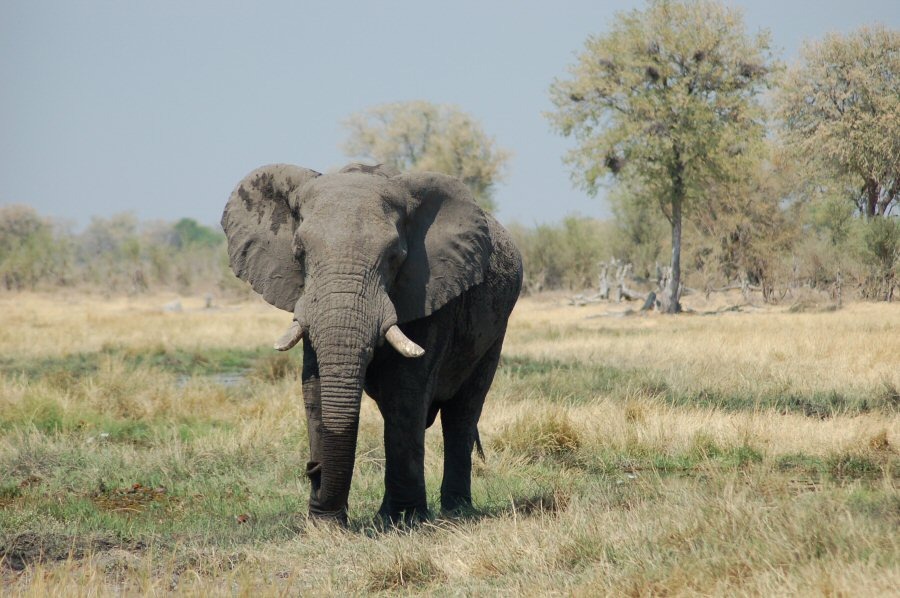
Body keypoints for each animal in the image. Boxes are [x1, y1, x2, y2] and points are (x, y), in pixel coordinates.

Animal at [221, 162, 523, 525]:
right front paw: (325, 524)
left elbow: (404, 390)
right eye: (299, 253)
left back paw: (455, 512)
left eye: (395, 256)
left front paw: (404, 521)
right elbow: (315, 388)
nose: (313, 469)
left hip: (496, 331)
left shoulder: (426, 291)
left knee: (462, 413)